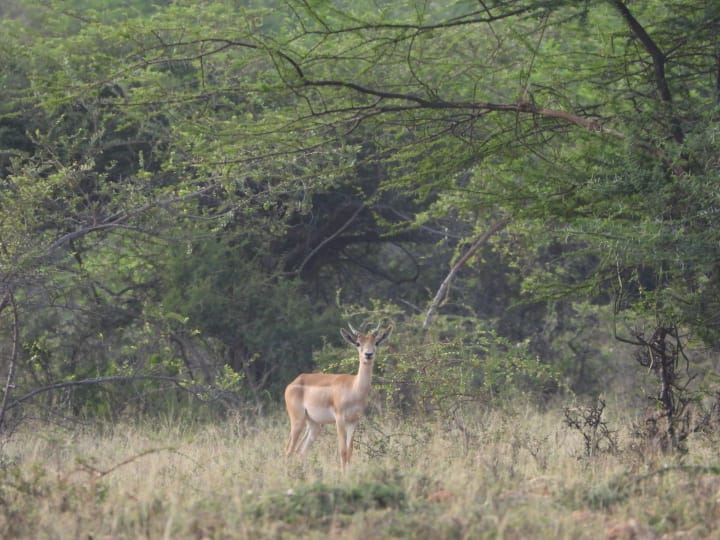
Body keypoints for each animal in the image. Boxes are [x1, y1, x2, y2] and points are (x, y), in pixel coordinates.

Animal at [282, 322, 394, 470]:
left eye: (376, 342)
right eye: (358, 343)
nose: (368, 354)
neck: (354, 388)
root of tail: (294, 382)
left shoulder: (354, 421)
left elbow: (350, 451)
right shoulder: (340, 419)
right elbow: (342, 450)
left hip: (314, 425)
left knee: (301, 450)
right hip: (297, 421)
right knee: (288, 450)